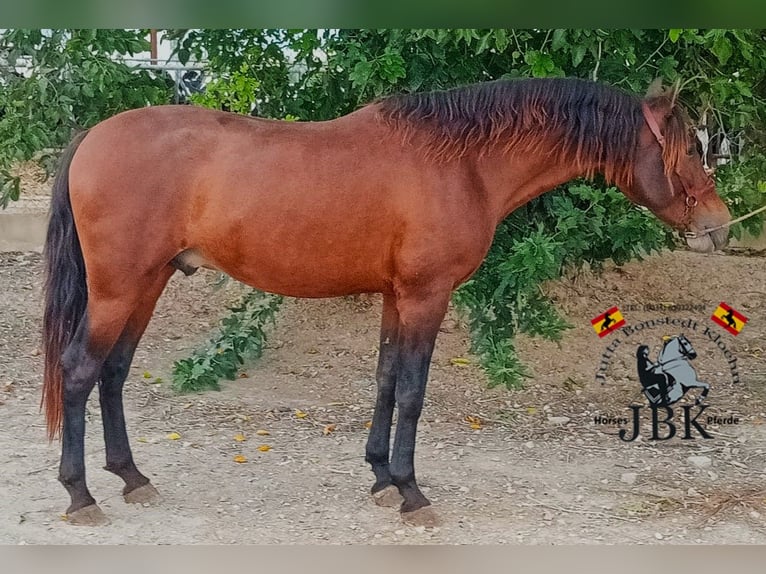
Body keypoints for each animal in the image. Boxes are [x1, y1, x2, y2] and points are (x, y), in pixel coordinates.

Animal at [42, 79, 732, 528]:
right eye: (686, 150)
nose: (721, 225)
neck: (463, 163)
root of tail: (93, 137)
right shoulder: (427, 296)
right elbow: (412, 391)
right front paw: (410, 491)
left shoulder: (397, 298)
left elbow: (384, 380)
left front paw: (378, 477)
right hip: (119, 288)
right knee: (79, 372)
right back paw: (80, 496)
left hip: (148, 283)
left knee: (113, 372)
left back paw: (132, 478)